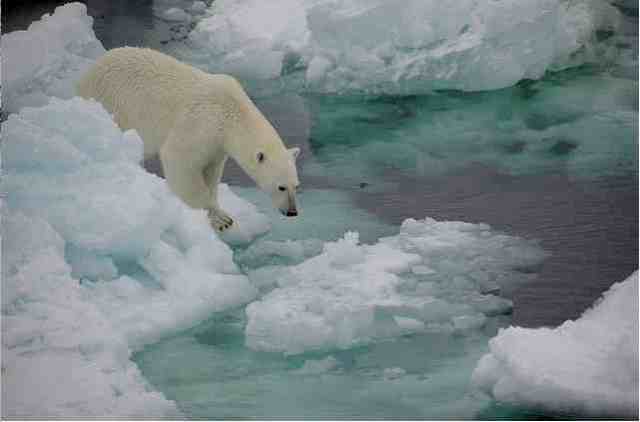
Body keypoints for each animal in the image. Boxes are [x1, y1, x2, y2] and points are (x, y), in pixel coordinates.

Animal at [76, 47, 300, 232]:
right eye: (281, 187)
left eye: (296, 186)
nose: (292, 212)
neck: (230, 112)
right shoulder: (200, 124)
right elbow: (180, 161)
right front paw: (219, 218)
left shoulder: (216, 146)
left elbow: (211, 173)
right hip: (113, 104)